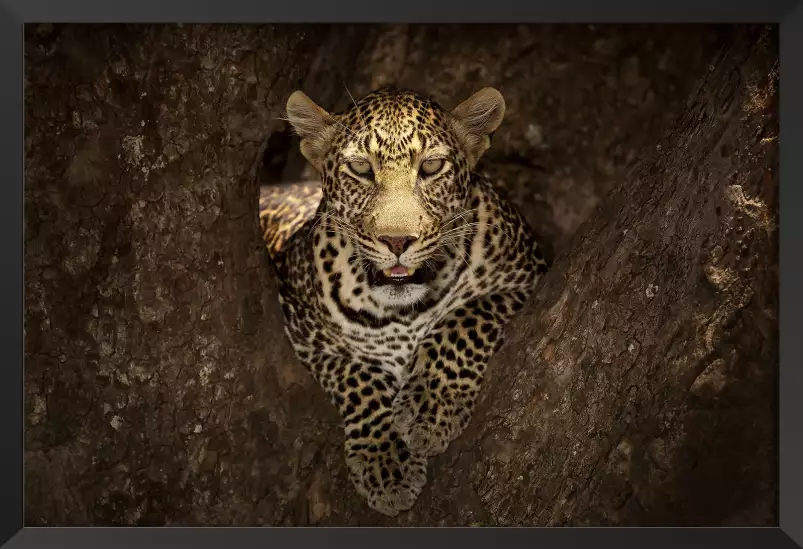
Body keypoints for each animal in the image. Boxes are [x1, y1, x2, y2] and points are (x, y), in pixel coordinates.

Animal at [260, 84, 548, 512]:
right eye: (361, 169)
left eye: (431, 167)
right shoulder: (302, 331)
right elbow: (358, 376)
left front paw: (429, 408)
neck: (403, 313)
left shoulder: (528, 275)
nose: (397, 242)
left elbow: (464, 319)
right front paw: (386, 461)